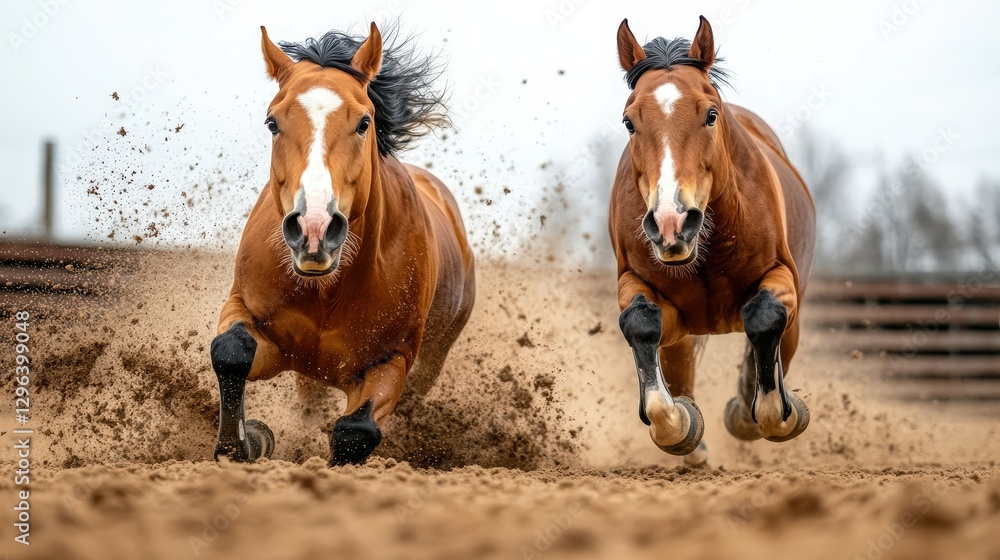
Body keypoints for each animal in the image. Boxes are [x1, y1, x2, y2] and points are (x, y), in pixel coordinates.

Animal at [210, 22, 475, 466]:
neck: (328, 292)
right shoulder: (251, 314)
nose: (314, 228)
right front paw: (245, 445)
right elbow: (231, 351)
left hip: (428, 363)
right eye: (272, 123)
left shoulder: (391, 359)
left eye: (364, 122)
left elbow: (356, 431)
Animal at [610, 17, 815, 465]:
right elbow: (640, 323)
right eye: (630, 122)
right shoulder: (642, 288)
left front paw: (774, 413)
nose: (672, 222)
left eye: (710, 114)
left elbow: (764, 316)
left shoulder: (782, 279)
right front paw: (679, 425)